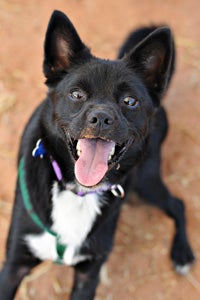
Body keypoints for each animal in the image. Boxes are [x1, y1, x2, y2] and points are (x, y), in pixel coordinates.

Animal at [0, 9, 194, 300]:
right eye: (76, 94)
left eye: (130, 101)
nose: (101, 118)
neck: (76, 192)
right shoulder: (14, 264)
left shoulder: (88, 275)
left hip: (145, 182)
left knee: (177, 204)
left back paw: (182, 254)